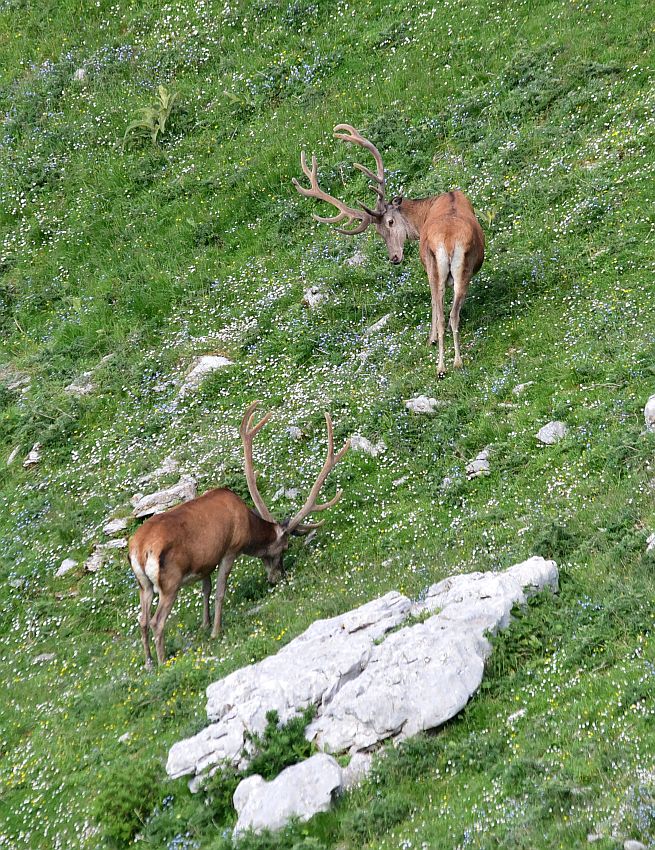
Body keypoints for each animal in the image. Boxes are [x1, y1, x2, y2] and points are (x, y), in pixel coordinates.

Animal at [130, 400, 352, 664]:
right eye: (284, 547)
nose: (278, 577)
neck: (247, 523)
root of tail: (139, 549)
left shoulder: (205, 561)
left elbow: (205, 590)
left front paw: (205, 625)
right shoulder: (230, 549)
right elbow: (220, 592)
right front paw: (216, 631)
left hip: (144, 586)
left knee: (142, 620)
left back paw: (148, 663)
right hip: (170, 582)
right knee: (157, 621)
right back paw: (163, 662)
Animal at [294, 123, 486, 374]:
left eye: (390, 223)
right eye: (379, 232)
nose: (394, 258)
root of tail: (448, 239)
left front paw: (432, 340)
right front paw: (432, 339)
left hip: (444, 269)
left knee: (447, 314)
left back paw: (446, 364)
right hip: (451, 268)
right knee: (450, 314)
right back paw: (451, 362)